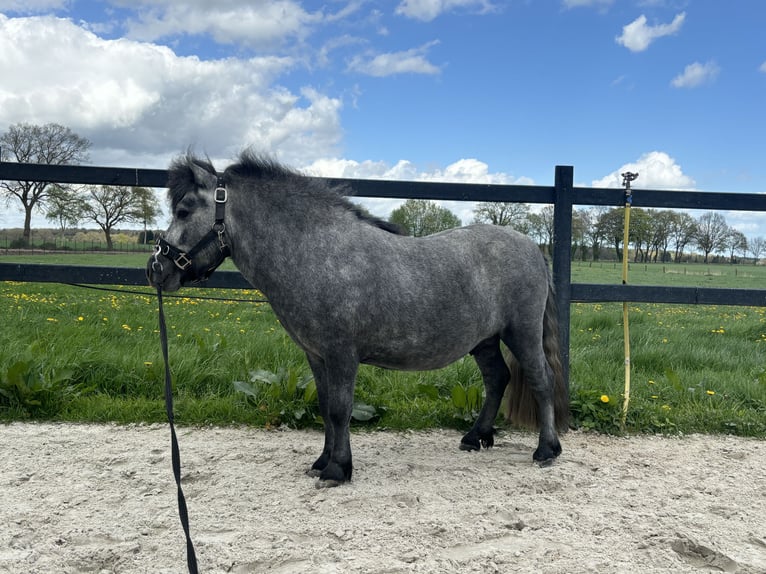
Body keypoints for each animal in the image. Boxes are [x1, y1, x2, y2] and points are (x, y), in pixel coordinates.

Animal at [148, 151, 568, 488]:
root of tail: (532, 246)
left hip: (521, 332)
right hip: (484, 340)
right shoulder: (316, 356)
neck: (318, 254)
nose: (156, 270)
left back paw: (546, 450)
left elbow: (340, 409)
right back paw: (475, 437)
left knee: (541, 380)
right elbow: (325, 408)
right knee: (497, 378)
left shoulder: (341, 355)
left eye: (184, 210)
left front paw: (339, 469)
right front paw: (322, 462)